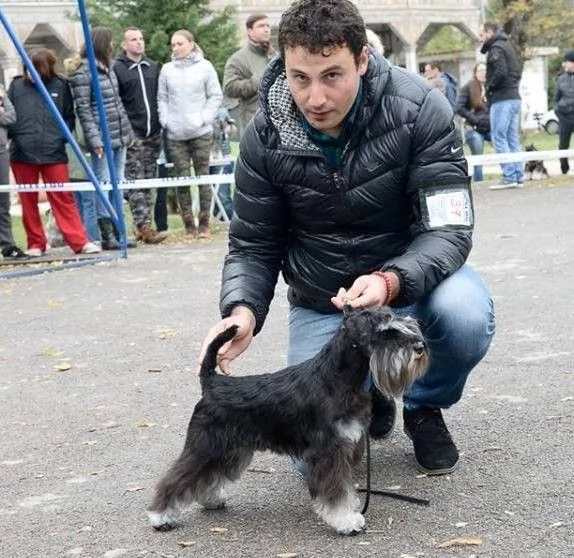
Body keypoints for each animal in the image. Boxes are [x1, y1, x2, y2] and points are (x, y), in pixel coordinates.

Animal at [146, 306, 430, 540]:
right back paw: (160, 517)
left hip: (231, 450)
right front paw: (347, 521)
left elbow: (345, 488)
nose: (420, 346)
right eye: (388, 331)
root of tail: (211, 383)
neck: (337, 378)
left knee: (209, 474)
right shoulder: (329, 452)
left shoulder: (345, 447)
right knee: (178, 477)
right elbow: (337, 492)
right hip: (206, 446)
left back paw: (210, 499)